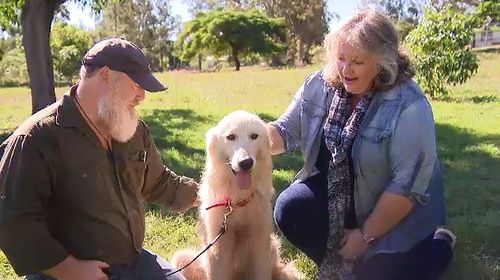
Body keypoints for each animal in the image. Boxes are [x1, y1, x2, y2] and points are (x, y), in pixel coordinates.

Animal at [172, 110, 300, 278]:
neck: (238, 200)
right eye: (231, 137)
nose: (246, 163)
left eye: (254, 136)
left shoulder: (260, 242)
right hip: (182, 259)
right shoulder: (219, 247)